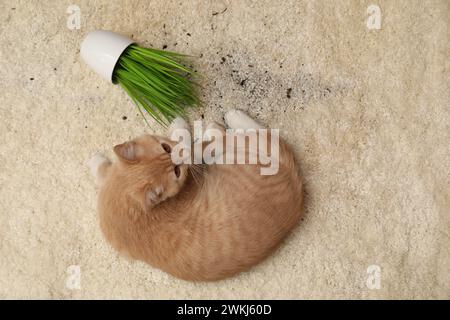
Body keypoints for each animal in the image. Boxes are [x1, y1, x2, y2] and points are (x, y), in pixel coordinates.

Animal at [88, 109, 302, 280]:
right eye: (177, 172)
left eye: (166, 147)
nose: (182, 157)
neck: (129, 203)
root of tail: (294, 184)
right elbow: (194, 146)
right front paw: (183, 128)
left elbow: (102, 170)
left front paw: (94, 160)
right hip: (233, 156)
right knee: (248, 137)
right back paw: (222, 123)